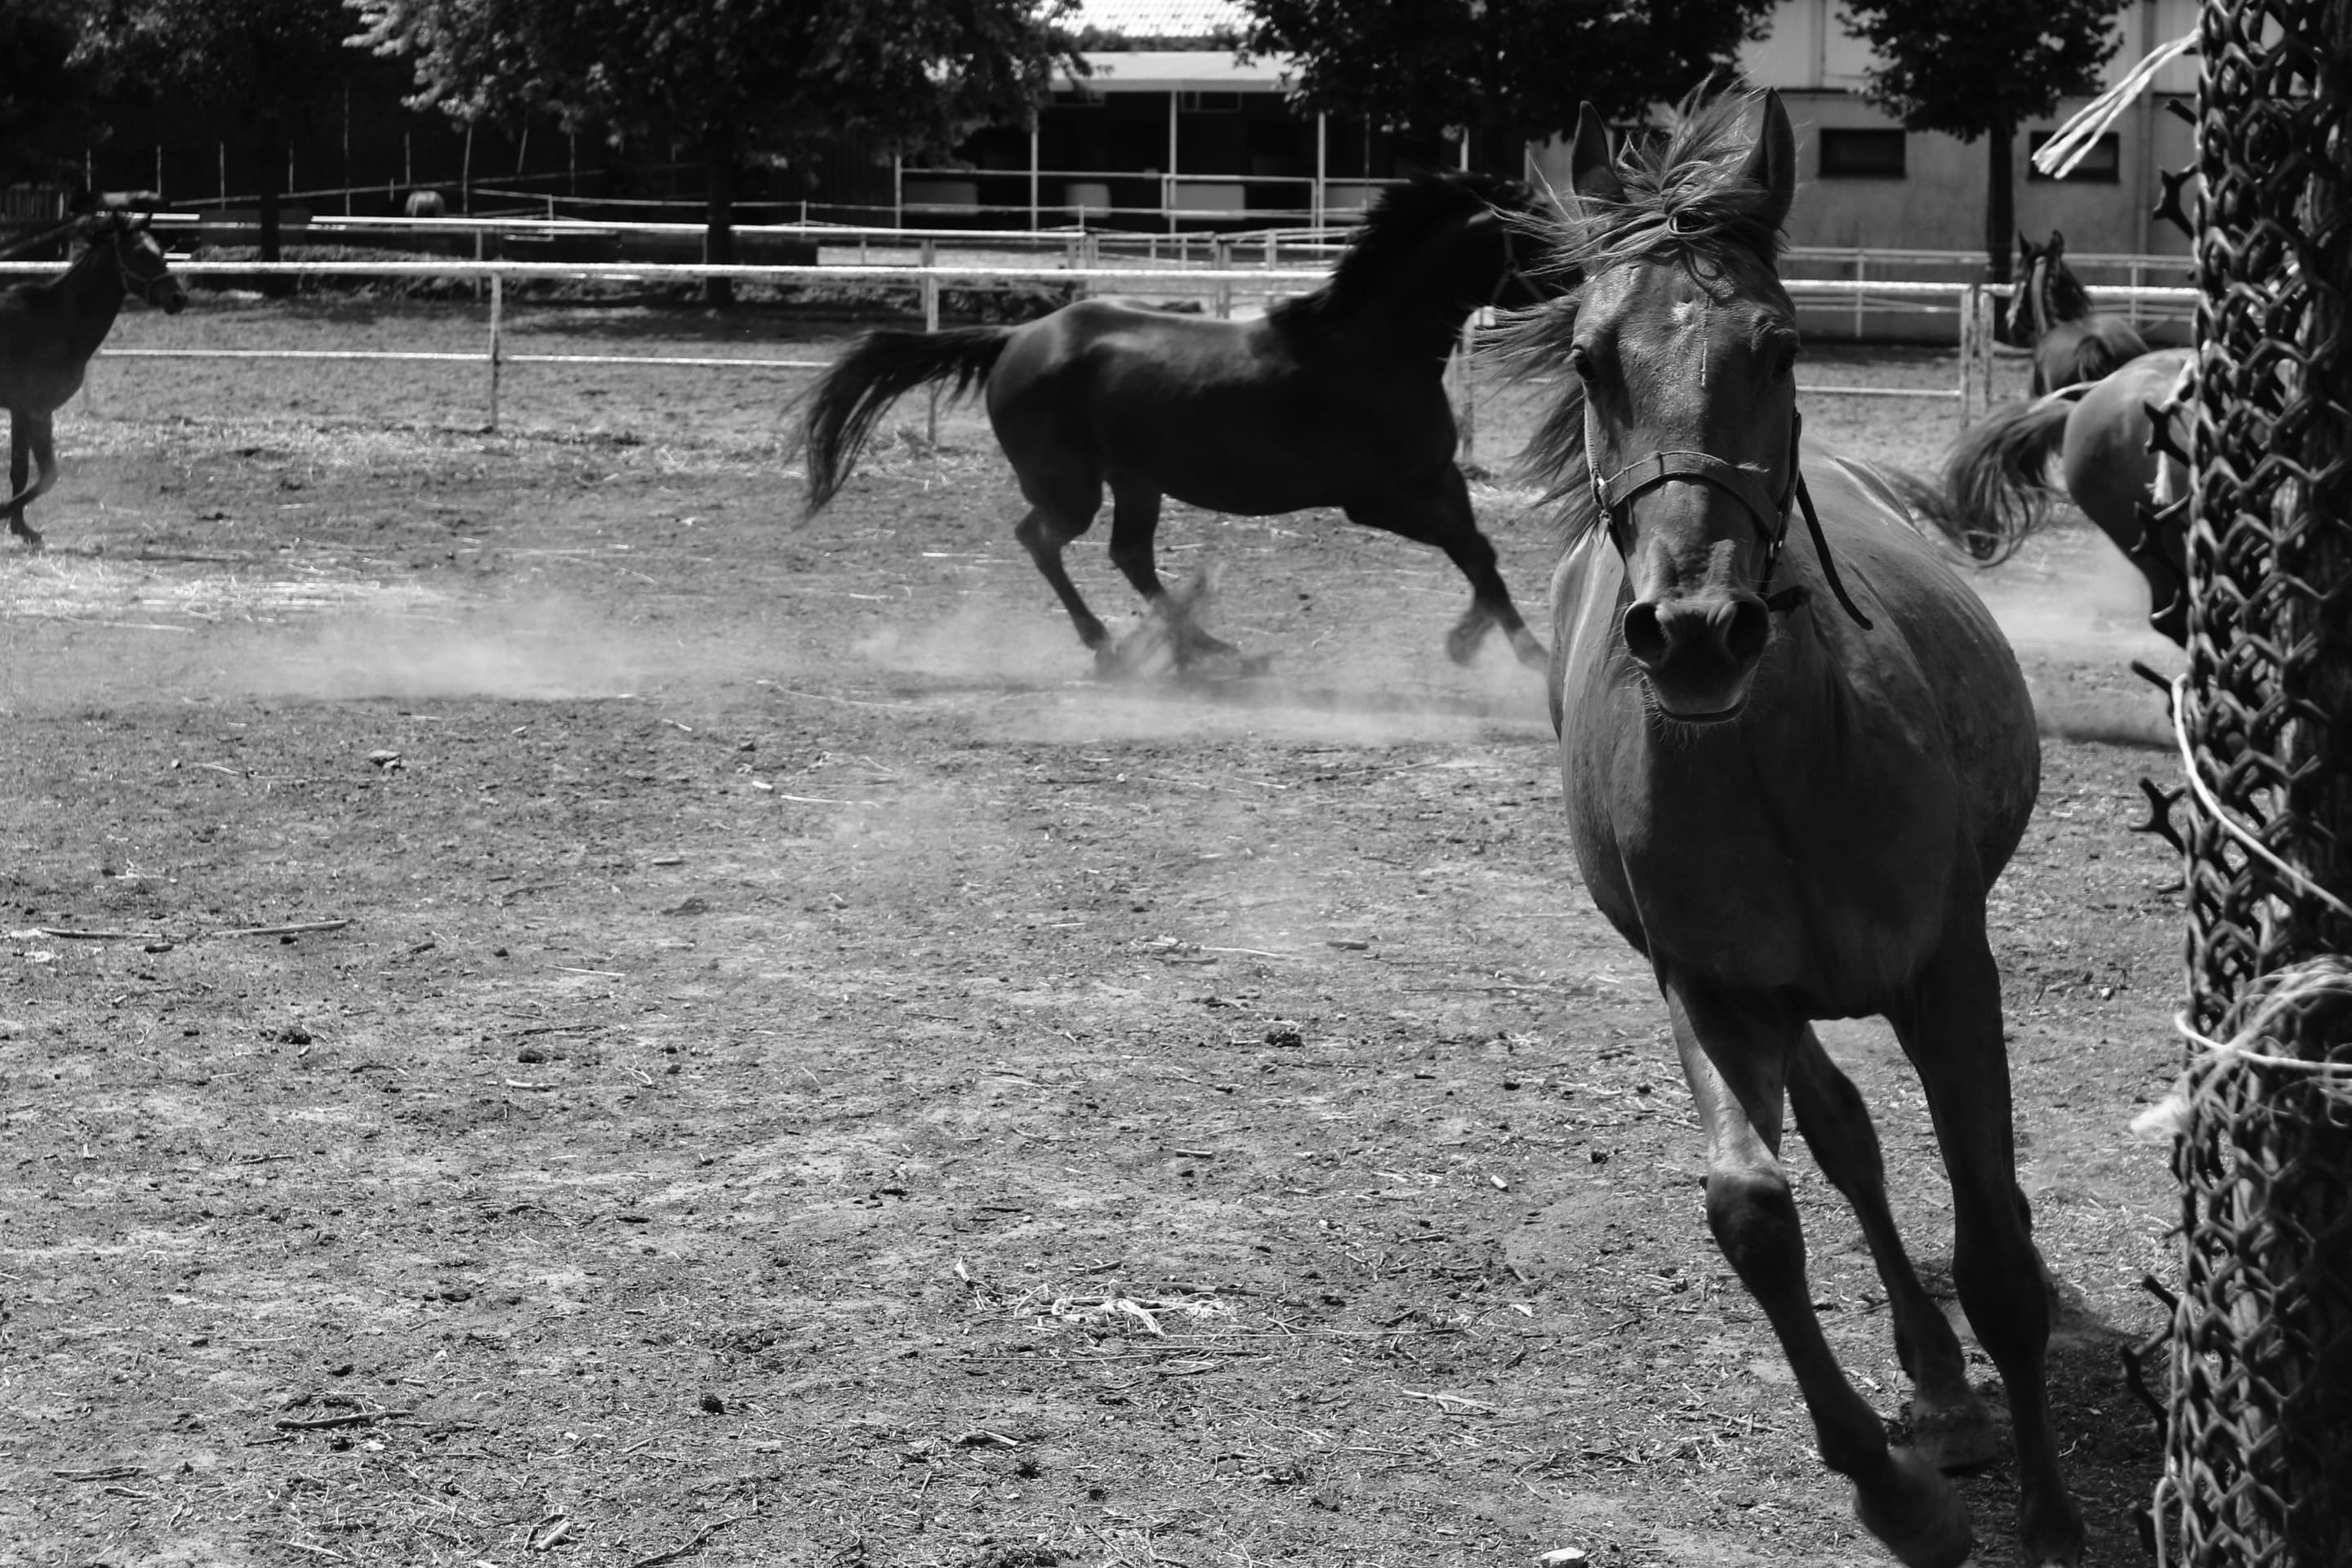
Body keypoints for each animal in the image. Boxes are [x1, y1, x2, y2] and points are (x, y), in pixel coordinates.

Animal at [0, 208, 187, 549]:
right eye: (141, 253)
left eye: (162, 252)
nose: (179, 298)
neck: (56, 320)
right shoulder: (37, 410)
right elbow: (48, 475)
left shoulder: (20, 411)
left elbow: (19, 470)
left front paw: (23, 529)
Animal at [795, 172, 1554, 673]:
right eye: (1543, 244)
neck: (1371, 351)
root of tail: (1014, 338)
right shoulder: (1375, 499)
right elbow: (1470, 548)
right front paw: (1530, 654)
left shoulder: (1438, 476)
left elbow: (1480, 552)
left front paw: (1473, 640)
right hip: (1073, 487)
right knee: (1042, 539)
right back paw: (1112, 645)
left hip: (1136, 481)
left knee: (1127, 555)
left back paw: (1203, 645)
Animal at [1511, 91, 2082, 1566]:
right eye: (1591, 359)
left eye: (1777, 344)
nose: (1695, 630)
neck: (1781, 771)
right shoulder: (1711, 987)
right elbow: (1758, 1212)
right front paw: (1892, 1487)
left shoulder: (1951, 970)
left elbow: (2000, 1253)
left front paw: (2054, 1512)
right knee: (1847, 1143)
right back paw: (1934, 1383)